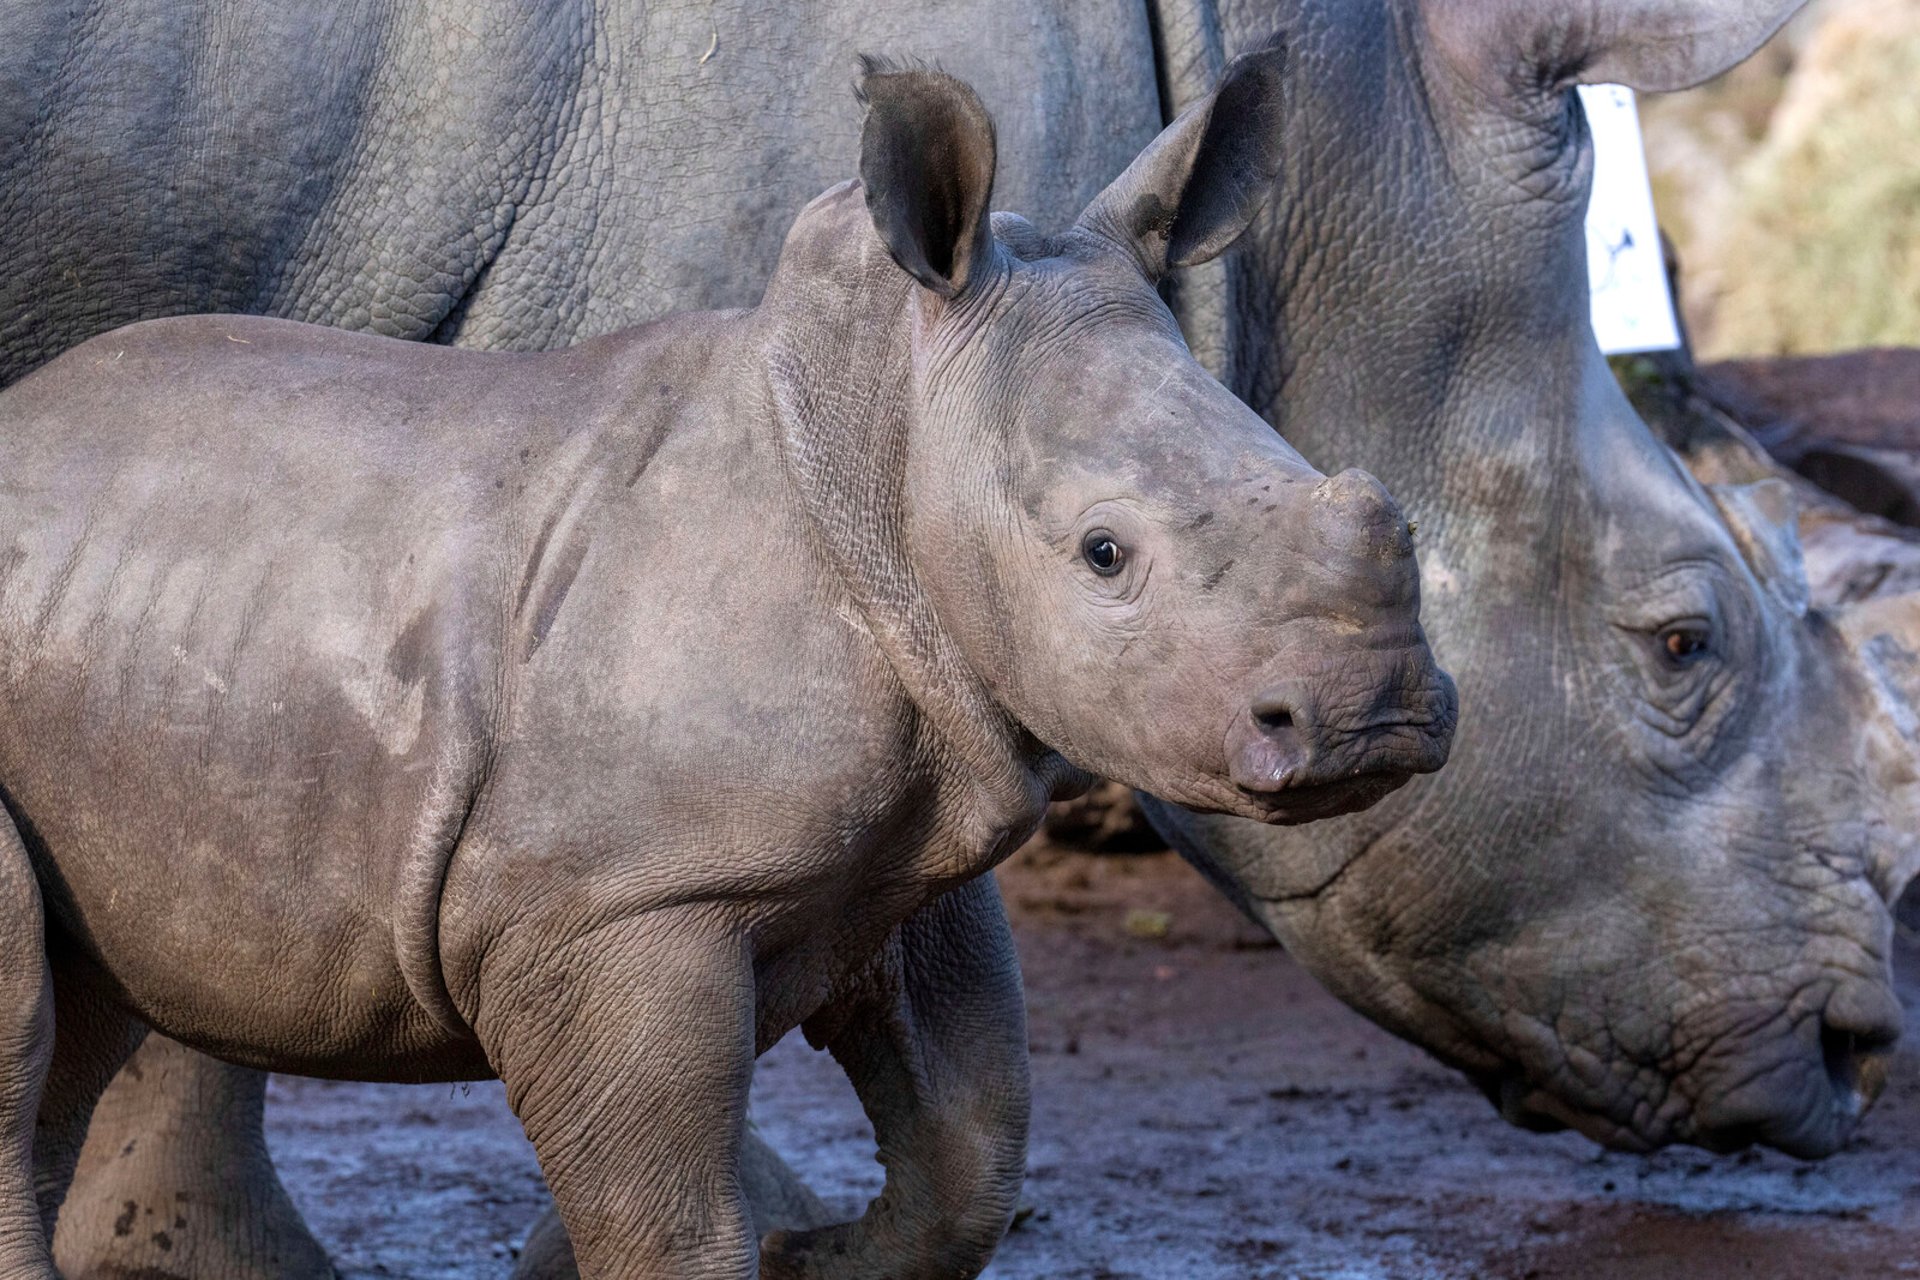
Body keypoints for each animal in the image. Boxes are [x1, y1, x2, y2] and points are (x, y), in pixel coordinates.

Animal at [11, 0, 1920, 1274]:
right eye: (1681, 646)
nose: (1855, 1051)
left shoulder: (922, 793)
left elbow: (971, 1140)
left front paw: (824, 1255)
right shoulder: (612, 897)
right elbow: (667, 1201)